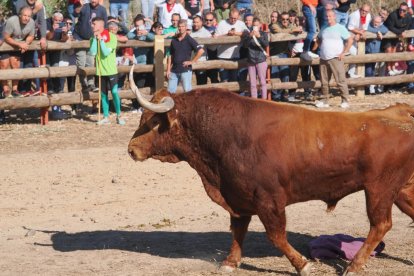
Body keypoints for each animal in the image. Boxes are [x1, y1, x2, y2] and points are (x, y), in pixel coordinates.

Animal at [127, 67, 414, 276]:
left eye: (153, 121)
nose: (131, 149)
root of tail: (400, 113)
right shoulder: (237, 196)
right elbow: (237, 230)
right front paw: (230, 262)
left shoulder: (269, 200)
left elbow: (276, 236)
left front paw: (303, 265)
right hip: (401, 190)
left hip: (379, 190)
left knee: (380, 225)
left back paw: (354, 266)